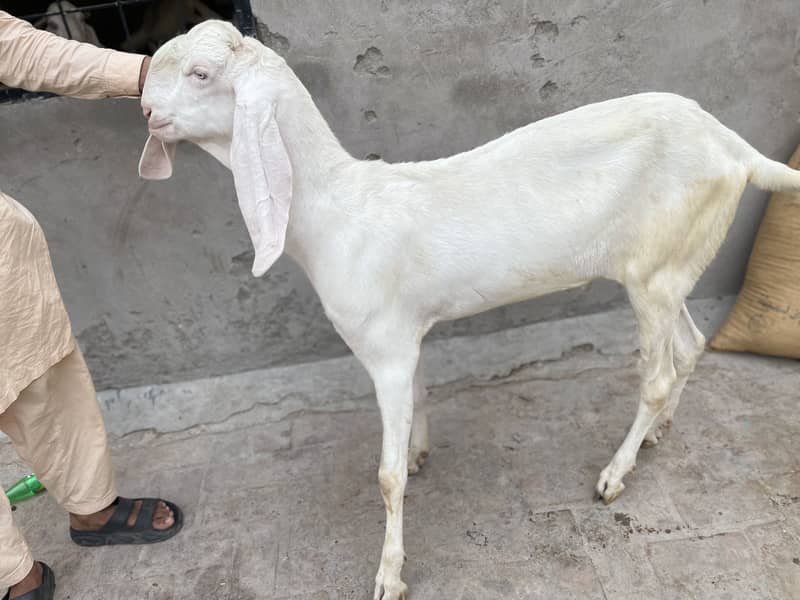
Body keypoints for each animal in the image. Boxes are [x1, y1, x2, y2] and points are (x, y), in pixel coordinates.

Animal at [138, 20, 800, 599]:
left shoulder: (383, 349)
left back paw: (616, 474)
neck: (340, 210)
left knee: (658, 375)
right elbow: (420, 397)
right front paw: (420, 452)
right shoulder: (406, 335)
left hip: (654, 275)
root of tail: (734, 147)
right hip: (674, 264)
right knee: (690, 347)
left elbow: (386, 477)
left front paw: (389, 575)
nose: (145, 110)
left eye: (200, 73)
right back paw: (659, 432)